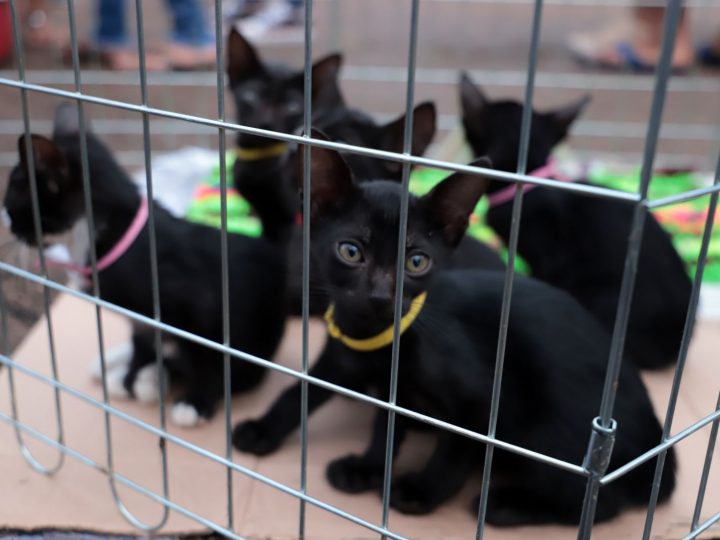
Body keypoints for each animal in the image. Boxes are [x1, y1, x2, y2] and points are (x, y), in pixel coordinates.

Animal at [3, 103, 290, 428]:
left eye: (12, 204)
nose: (9, 226)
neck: (112, 236)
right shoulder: (141, 319)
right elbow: (141, 343)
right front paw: (130, 376)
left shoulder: (196, 307)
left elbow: (208, 356)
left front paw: (197, 401)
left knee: (239, 371)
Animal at [232, 137, 676, 524]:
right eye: (351, 251)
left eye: (417, 262)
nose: (380, 296)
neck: (378, 342)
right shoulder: (356, 366)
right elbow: (320, 401)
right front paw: (362, 466)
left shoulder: (485, 397)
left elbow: (457, 447)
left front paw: (421, 491)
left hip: (549, 428)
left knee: (600, 502)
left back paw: (507, 504)